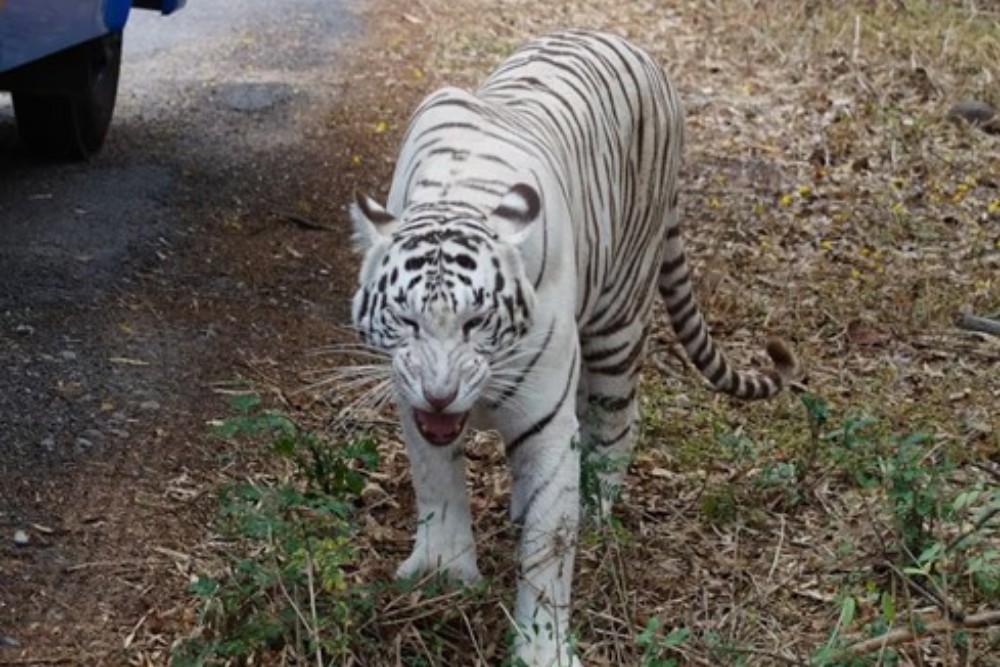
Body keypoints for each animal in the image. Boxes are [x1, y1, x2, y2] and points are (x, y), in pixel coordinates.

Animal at [352, 28, 796, 664]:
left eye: (477, 321)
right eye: (406, 319)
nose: (440, 395)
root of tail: (630, 44)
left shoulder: (546, 421)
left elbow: (549, 548)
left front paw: (543, 649)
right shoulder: (410, 398)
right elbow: (436, 480)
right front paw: (442, 571)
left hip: (619, 318)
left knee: (618, 421)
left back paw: (595, 510)